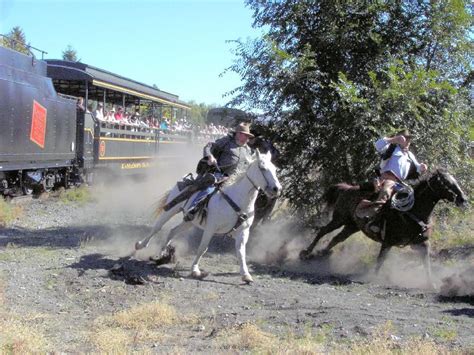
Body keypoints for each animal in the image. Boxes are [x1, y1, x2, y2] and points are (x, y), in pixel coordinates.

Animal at [135, 152, 280, 286]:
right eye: (262, 167)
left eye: (274, 169)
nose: (277, 189)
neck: (238, 199)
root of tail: (186, 179)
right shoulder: (210, 228)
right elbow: (202, 248)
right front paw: (195, 270)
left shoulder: (243, 231)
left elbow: (241, 252)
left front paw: (246, 275)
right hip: (171, 210)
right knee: (157, 227)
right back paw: (140, 245)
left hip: (189, 221)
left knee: (173, 231)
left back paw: (162, 255)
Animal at [300, 170, 466, 290]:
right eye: (446, 183)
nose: (463, 199)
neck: (413, 211)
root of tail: (347, 188)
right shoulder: (388, 241)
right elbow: (380, 260)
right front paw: (373, 277)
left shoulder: (423, 243)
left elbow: (427, 264)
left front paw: (431, 284)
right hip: (339, 219)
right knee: (323, 231)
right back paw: (306, 253)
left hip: (352, 226)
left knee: (336, 238)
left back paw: (321, 254)